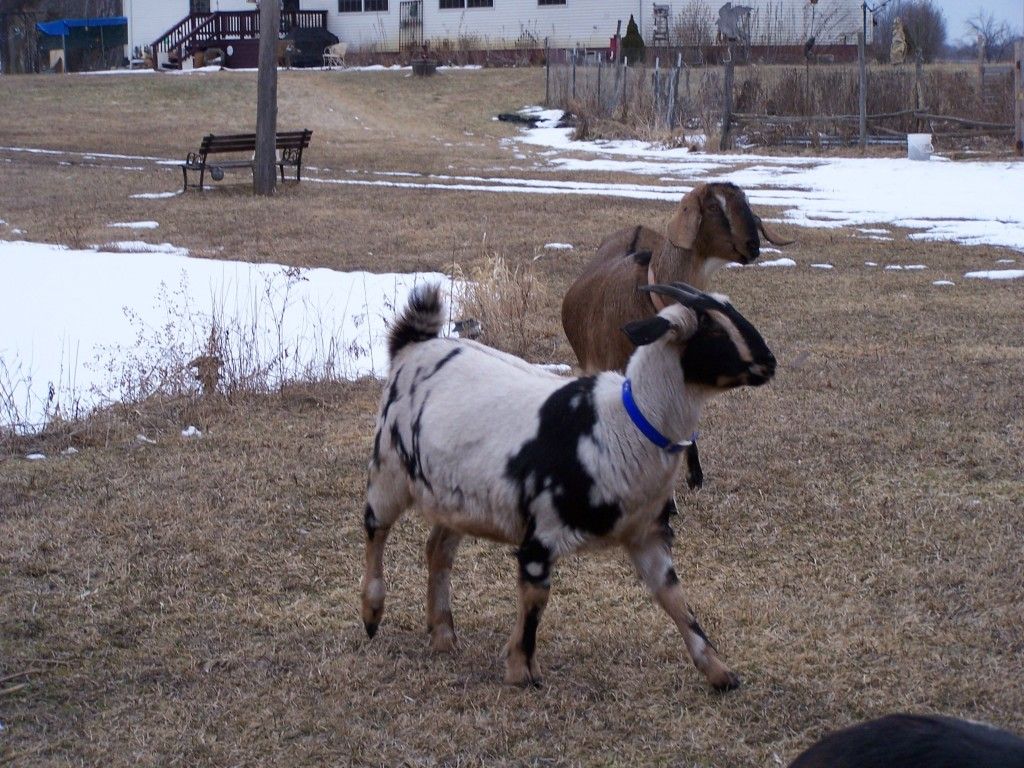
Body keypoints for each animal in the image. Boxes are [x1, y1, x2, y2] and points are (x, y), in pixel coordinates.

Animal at [362, 281, 775, 690]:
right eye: (713, 329)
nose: (769, 363)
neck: (624, 424)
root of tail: (415, 344)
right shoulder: (539, 538)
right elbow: (536, 600)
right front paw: (521, 671)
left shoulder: (648, 533)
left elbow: (673, 596)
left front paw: (719, 671)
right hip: (389, 468)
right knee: (375, 527)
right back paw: (371, 612)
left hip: (459, 498)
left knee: (438, 550)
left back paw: (443, 634)